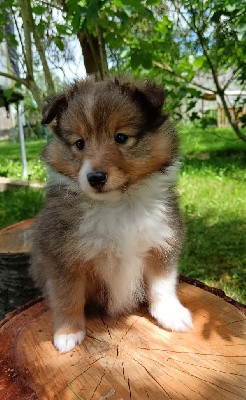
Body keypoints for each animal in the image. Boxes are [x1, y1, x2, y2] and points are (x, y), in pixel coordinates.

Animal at [29, 77, 193, 354]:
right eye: (80, 143)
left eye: (121, 137)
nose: (95, 178)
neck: (117, 204)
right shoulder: (61, 254)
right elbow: (67, 296)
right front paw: (68, 333)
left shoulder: (163, 239)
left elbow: (163, 284)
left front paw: (171, 315)